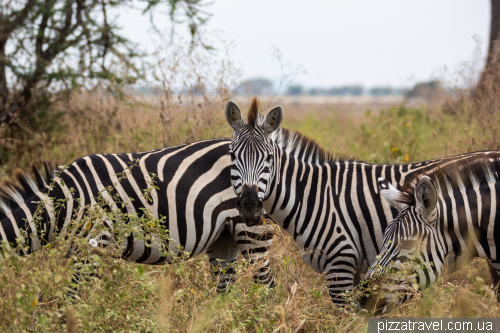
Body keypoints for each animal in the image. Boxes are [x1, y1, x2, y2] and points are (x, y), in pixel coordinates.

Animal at [0, 137, 274, 294]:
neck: (64, 203)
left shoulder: (92, 247)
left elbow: (74, 300)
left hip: (253, 232)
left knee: (267, 286)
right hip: (225, 237)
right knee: (225, 290)